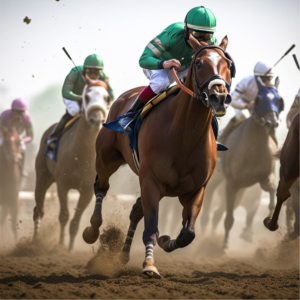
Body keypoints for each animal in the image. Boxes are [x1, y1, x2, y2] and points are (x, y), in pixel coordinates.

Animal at [32, 79, 109, 251]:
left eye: (107, 97)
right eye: (86, 96)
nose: (97, 119)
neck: (81, 155)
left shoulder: (87, 190)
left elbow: (75, 222)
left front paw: (70, 249)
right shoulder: (63, 184)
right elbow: (64, 216)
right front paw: (60, 245)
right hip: (43, 176)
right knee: (38, 210)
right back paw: (33, 241)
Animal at [82, 36, 232, 278]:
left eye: (228, 64)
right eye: (199, 63)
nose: (219, 97)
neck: (184, 134)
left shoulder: (196, 189)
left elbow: (187, 234)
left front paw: (166, 241)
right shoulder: (151, 181)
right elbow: (151, 228)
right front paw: (150, 264)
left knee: (135, 210)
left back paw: (122, 256)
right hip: (106, 158)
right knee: (101, 187)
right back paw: (92, 230)